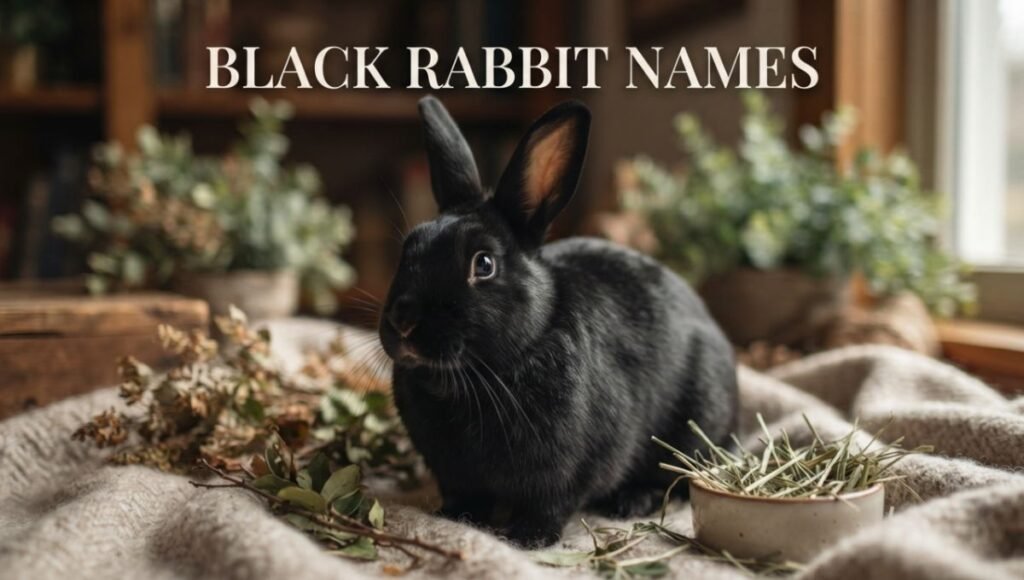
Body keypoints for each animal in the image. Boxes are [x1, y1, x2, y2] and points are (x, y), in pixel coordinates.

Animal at [378, 96, 739, 548]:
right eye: (409, 247)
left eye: (483, 264)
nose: (403, 320)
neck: (476, 378)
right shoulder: (454, 473)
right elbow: (465, 496)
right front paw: (453, 517)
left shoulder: (567, 469)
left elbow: (550, 504)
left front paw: (526, 538)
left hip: (693, 427)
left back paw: (631, 501)